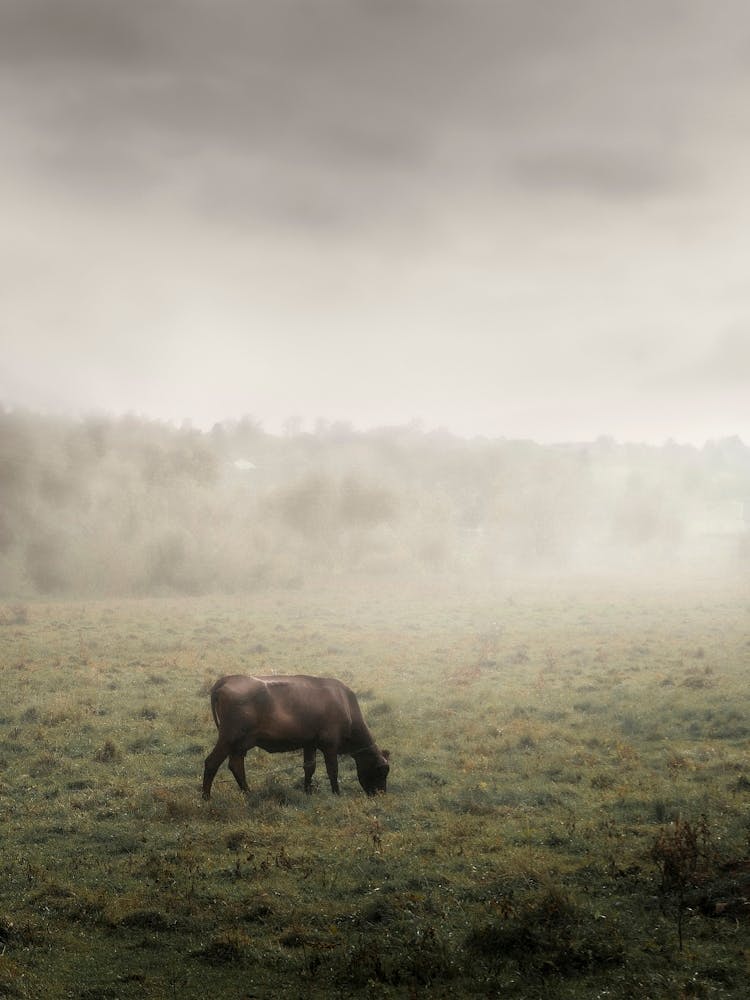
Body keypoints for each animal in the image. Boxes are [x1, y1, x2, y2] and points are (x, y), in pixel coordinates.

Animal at [202, 674, 390, 800]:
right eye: (380, 771)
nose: (381, 795)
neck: (345, 704)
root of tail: (227, 679)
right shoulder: (330, 745)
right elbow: (333, 770)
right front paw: (336, 793)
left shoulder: (310, 743)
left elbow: (309, 767)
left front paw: (308, 790)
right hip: (229, 738)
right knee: (211, 762)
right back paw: (206, 797)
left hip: (240, 744)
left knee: (236, 765)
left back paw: (248, 792)